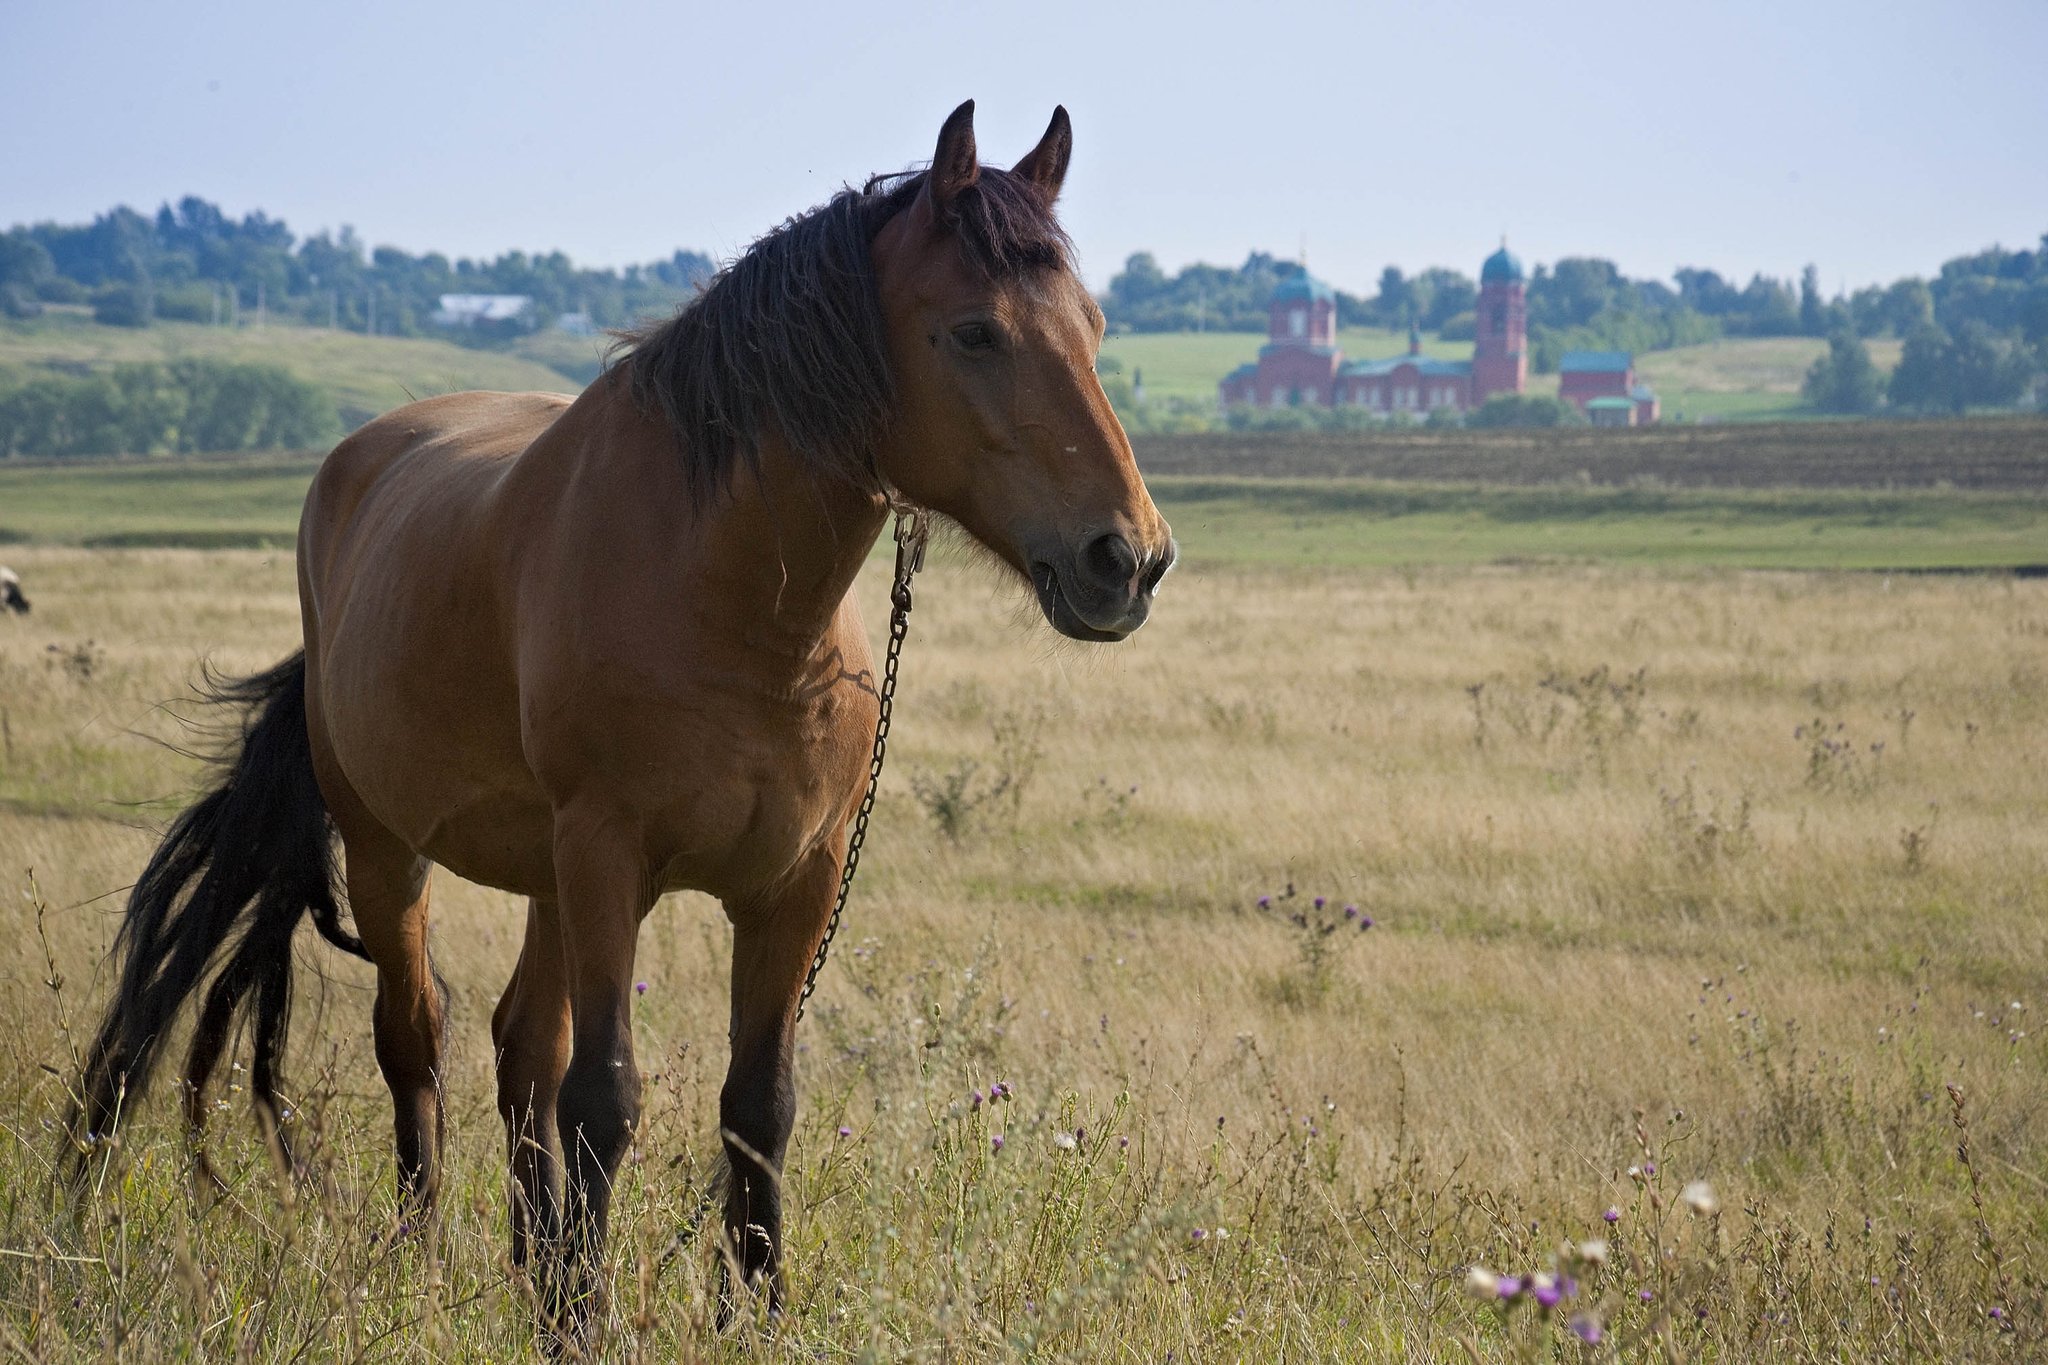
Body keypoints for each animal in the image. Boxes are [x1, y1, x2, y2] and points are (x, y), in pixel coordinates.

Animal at [72, 101, 1179, 1342]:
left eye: (1092, 326)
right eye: (975, 333)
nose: (1127, 560)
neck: (731, 601)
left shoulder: (793, 885)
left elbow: (756, 1105)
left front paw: (750, 1312)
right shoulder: (607, 859)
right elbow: (603, 1094)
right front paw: (587, 1321)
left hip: (546, 880)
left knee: (519, 1047)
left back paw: (534, 1267)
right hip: (391, 847)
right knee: (418, 1040)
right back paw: (426, 1260)